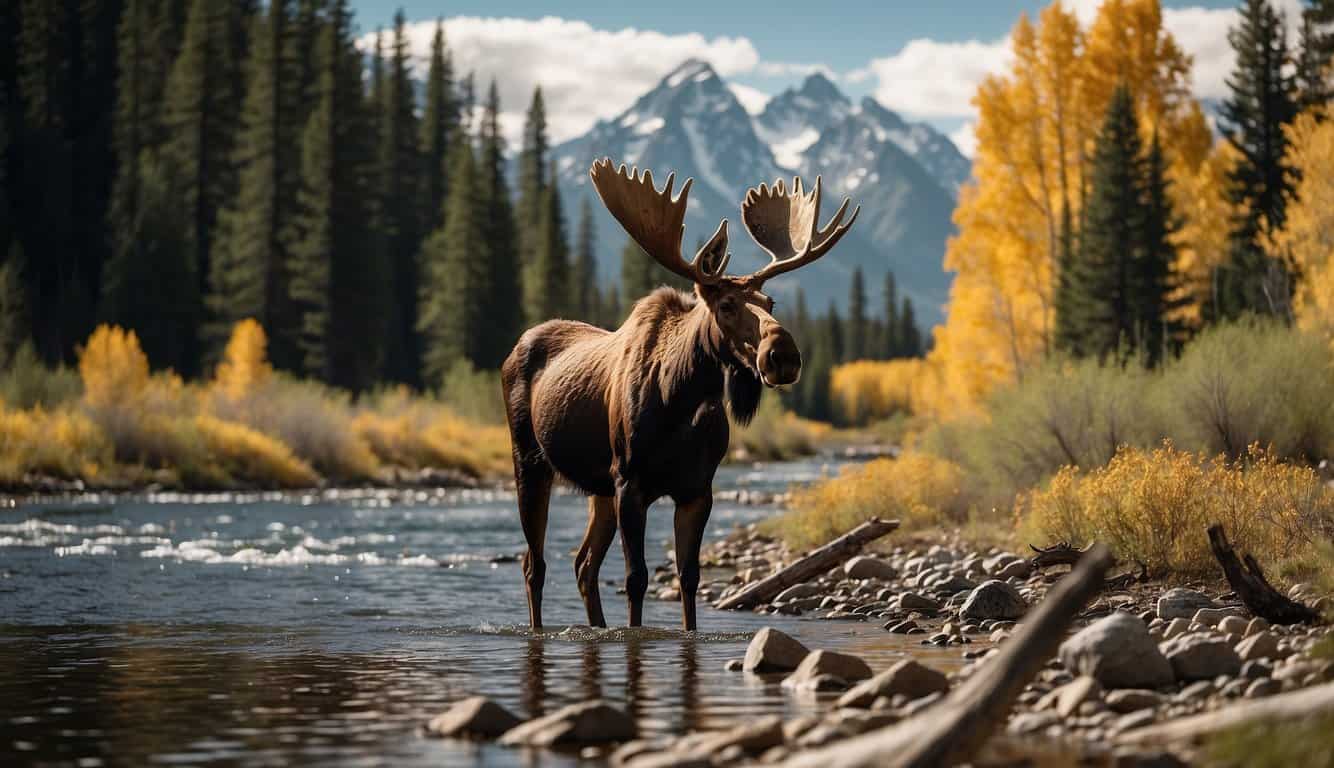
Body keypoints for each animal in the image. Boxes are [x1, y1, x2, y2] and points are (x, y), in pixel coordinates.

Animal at [501, 158, 859, 631]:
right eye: (725, 305)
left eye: (771, 302)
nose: (783, 355)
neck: (680, 402)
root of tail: (513, 349)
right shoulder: (629, 482)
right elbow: (636, 579)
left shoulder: (696, 489)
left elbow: (689, 577)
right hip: (530, 463)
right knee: (534, 565)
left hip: (597, 489)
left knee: (583, 566)